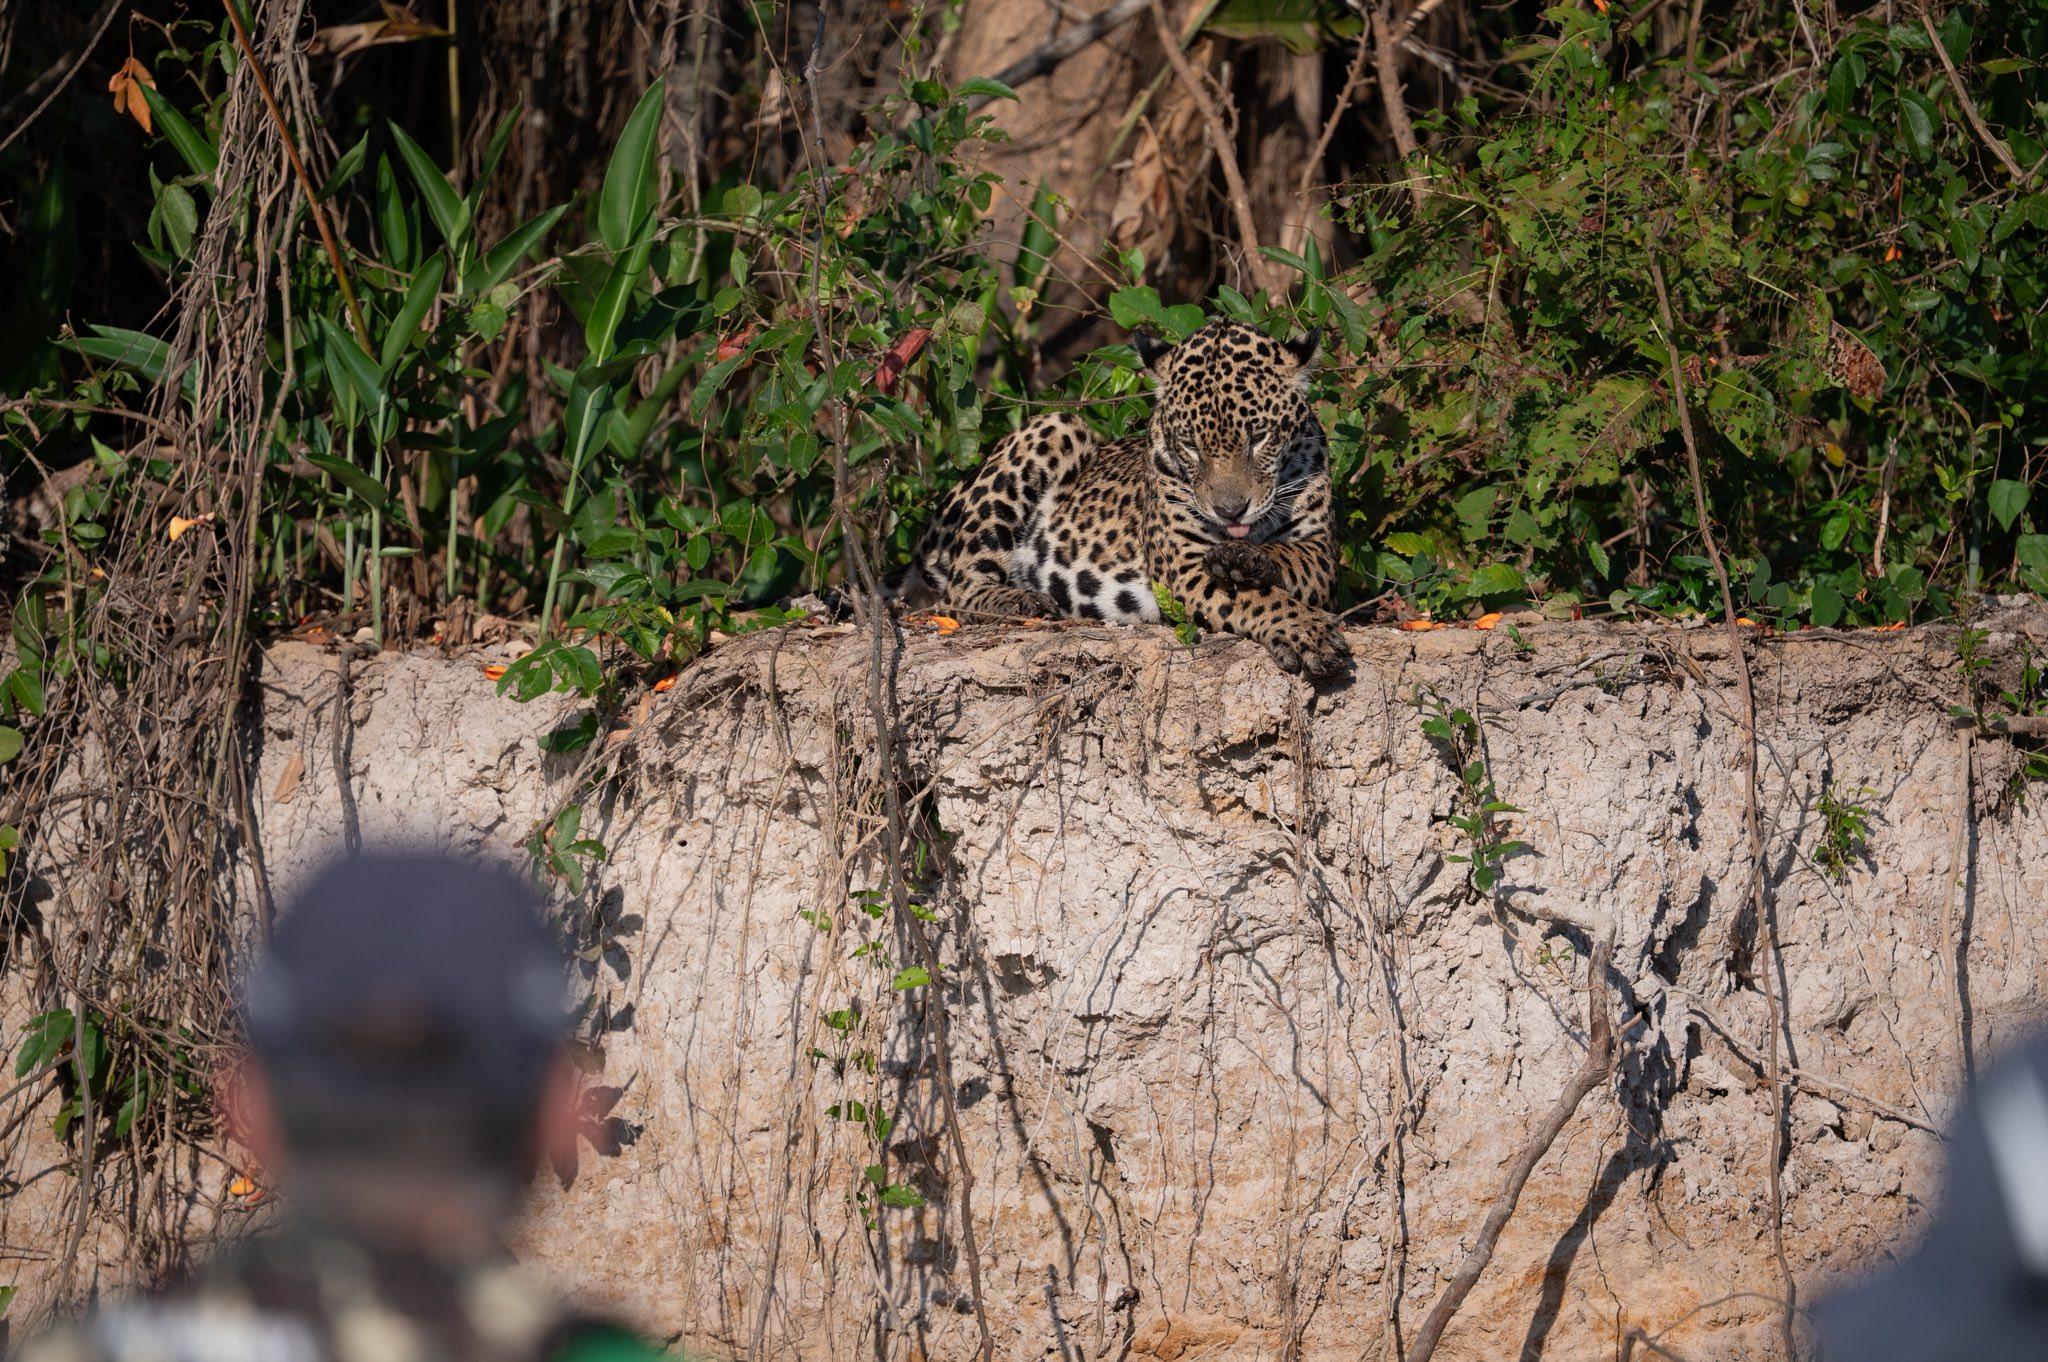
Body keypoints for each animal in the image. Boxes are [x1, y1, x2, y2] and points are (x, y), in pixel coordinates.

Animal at [890, 318, 1350, 678]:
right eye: (1190, 445)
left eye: (1259, 437)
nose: (1230, 510)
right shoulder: (1184, 564)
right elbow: (1257, 599)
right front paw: (1307, 633)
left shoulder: (1321, 550)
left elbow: (1288, 557)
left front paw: (1246, 561)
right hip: (1059, 426)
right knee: (959, 592)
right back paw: (1022, 600)